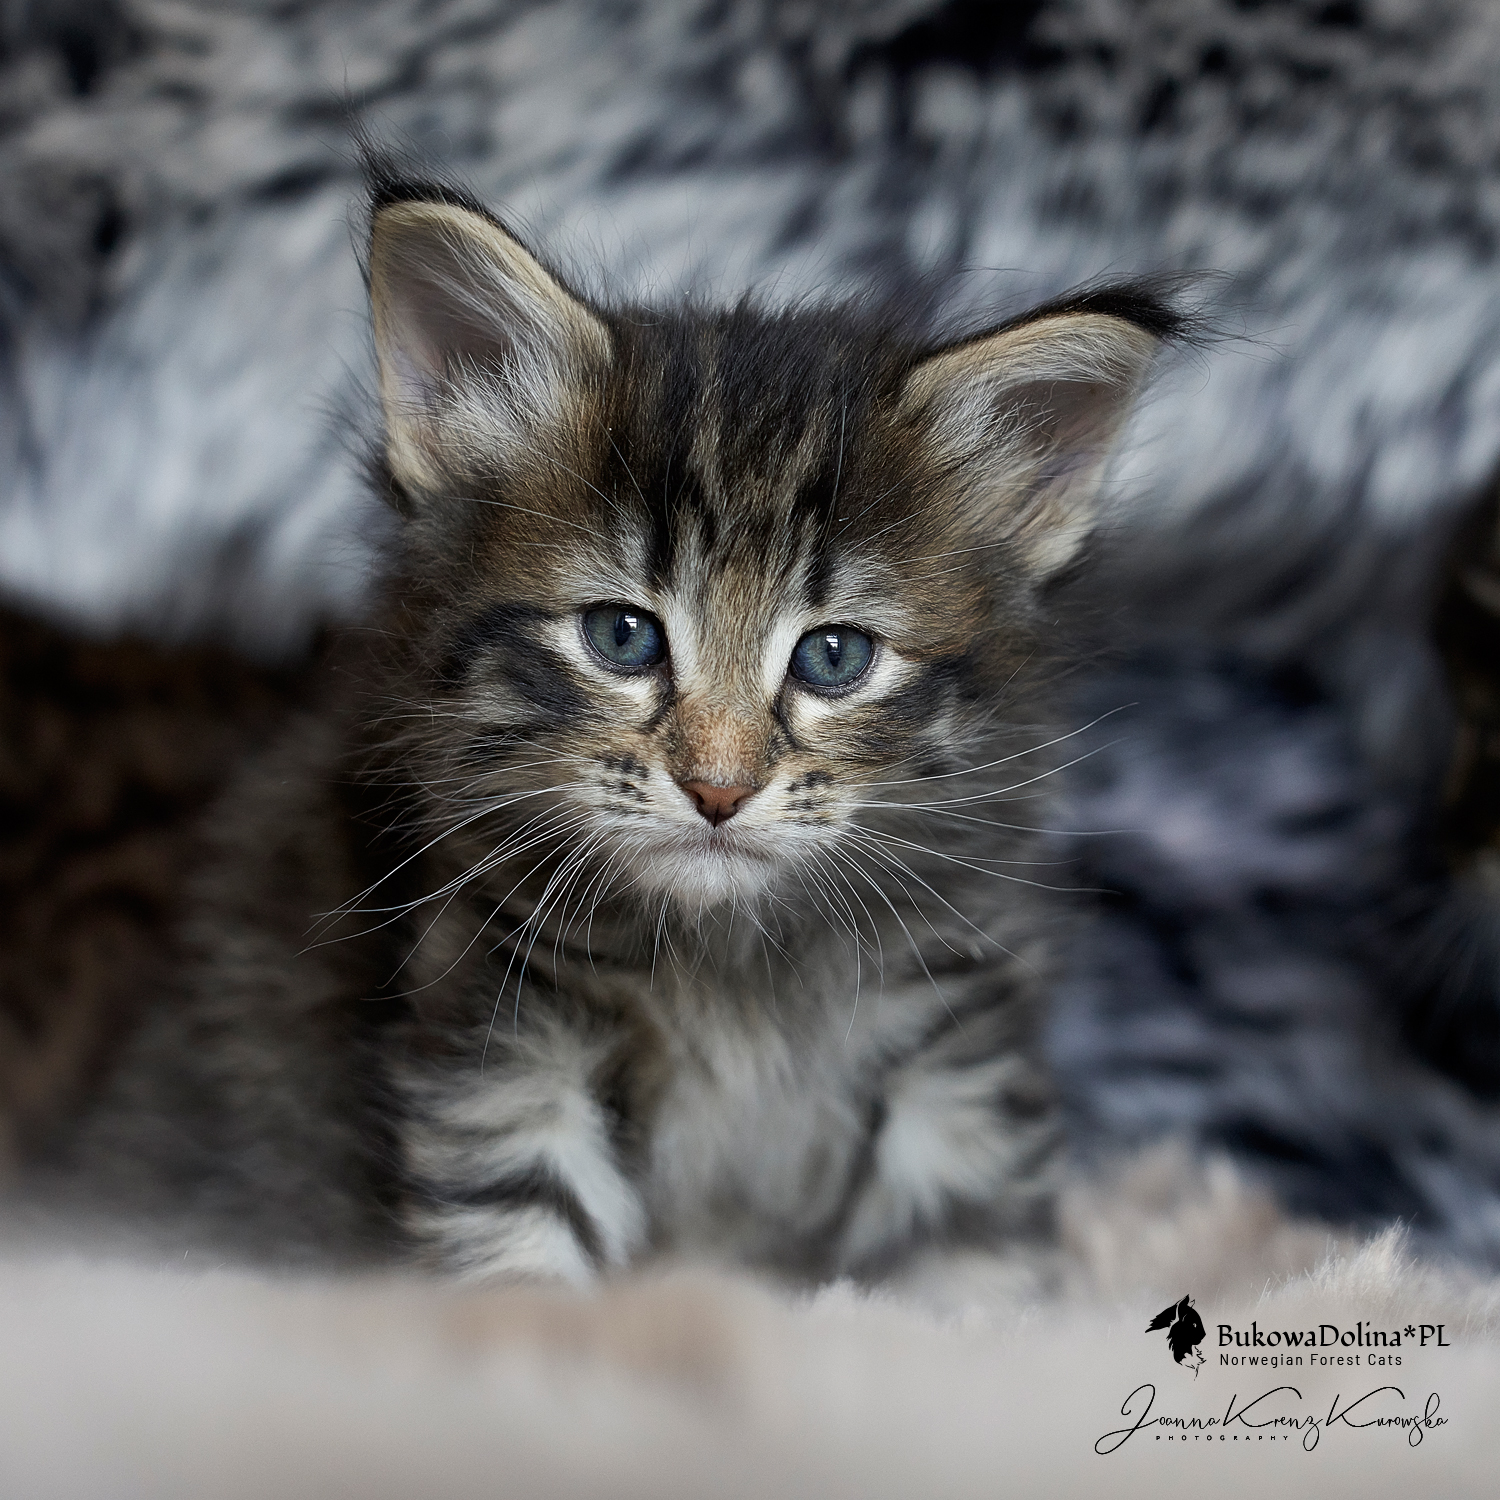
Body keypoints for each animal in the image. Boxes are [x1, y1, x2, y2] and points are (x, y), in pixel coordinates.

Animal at [37, 170, 1185, 1284]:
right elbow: (519, 1266)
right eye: (623, 637)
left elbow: (972, 1281)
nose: (719, 788)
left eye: (833, 657)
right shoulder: (504, 1032)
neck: (733, 972)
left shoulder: (954, 1057)